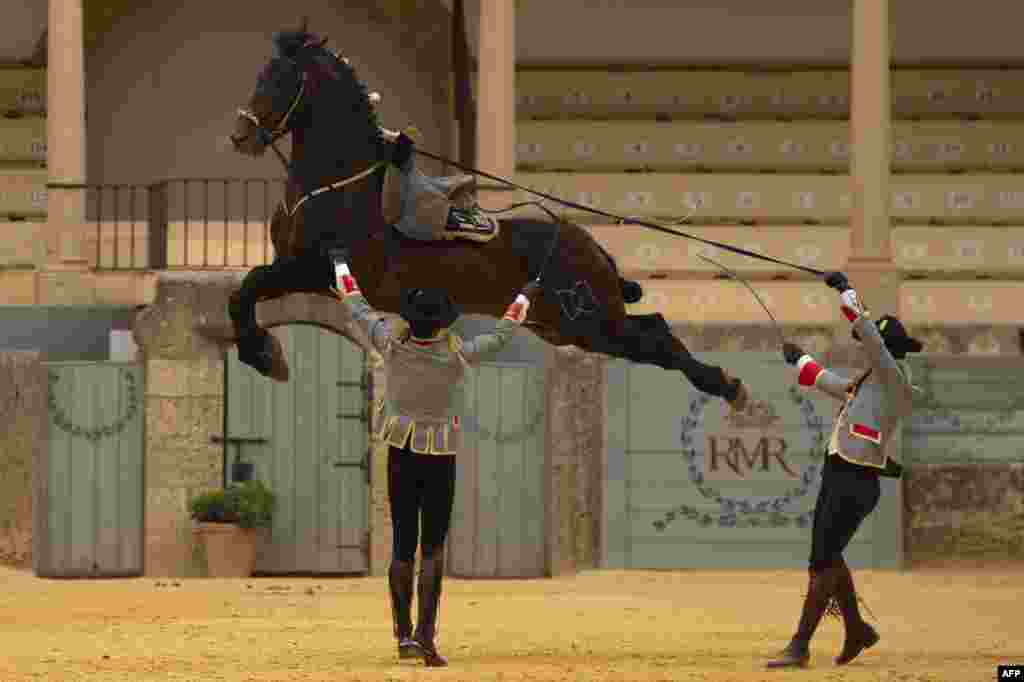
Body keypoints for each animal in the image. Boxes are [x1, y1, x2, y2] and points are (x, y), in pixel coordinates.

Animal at [226, 25, 753, 409]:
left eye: (280, 79)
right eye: (261, 74)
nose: (240, 135)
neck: (342, 186)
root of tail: (589, 244)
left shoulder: (313, 268)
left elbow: (246, 287)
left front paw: (264, 355)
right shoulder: (305, 271)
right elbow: (246, 290)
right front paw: (265, 353)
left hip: (591, 324)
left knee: (657, 336)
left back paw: (725, 385)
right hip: (570, 327)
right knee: (654, 332)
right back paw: (723, 384)